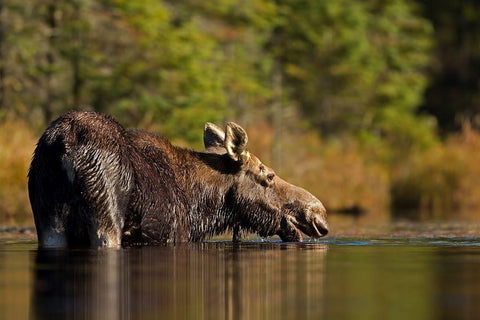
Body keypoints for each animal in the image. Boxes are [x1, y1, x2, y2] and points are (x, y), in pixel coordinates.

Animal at [28, 111, 328, 249]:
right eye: (269, 175)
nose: (319, 214)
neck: (203, 209)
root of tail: (65, 142)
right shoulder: (174, 236)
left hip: (47, 218)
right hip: (106, 215)